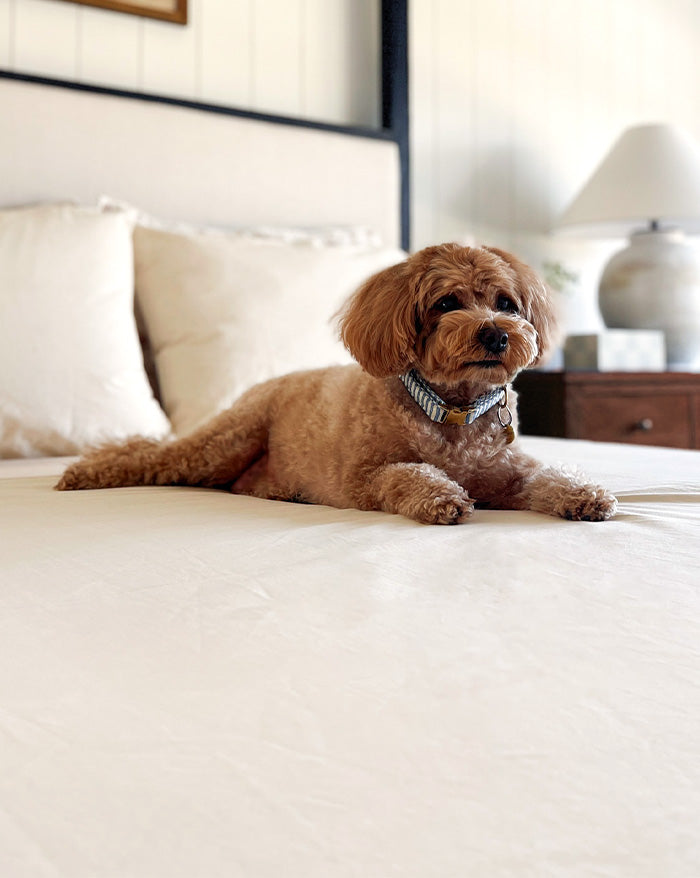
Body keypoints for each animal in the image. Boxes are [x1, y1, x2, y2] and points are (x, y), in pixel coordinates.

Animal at [58, 244, 616, 524]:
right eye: (446, 303)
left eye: (506, 304)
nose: (497, 335)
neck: (452, 410)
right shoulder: (363, 479)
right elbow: (407, 474)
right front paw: (441, 496)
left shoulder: (508, 474)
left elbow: (548, 477)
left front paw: (585, 494)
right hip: (225, 442)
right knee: (153, 455)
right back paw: (84, 473)